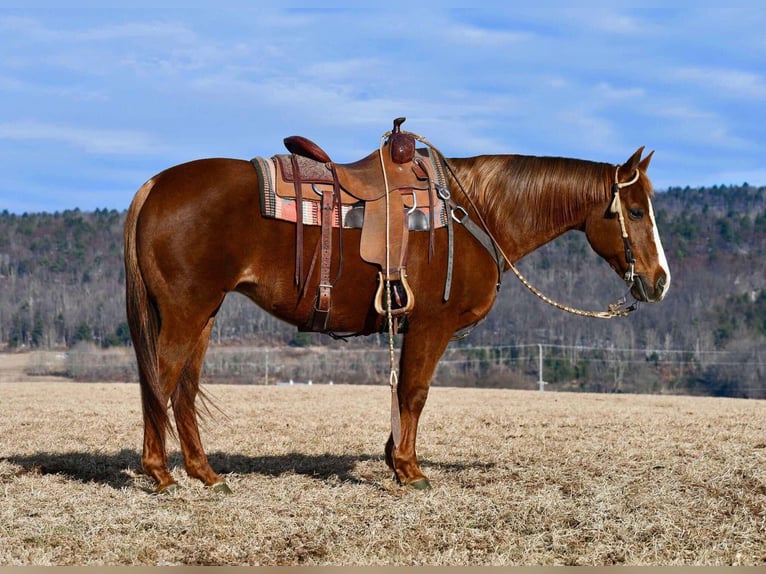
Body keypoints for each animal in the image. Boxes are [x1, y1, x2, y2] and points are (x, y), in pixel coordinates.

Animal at [123, 136, 668, 496]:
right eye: (635, 212)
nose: (660, 281)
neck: (474, 212)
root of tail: (154, 184)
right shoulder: (432, 324)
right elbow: (415, 391)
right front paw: (409, 469)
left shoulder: (408, 326)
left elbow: (404, 389)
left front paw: (394, 459)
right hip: (186, 311)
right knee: (161, 378)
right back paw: (161, 474)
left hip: (204, 313)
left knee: (184, 387)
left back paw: (205, 473)